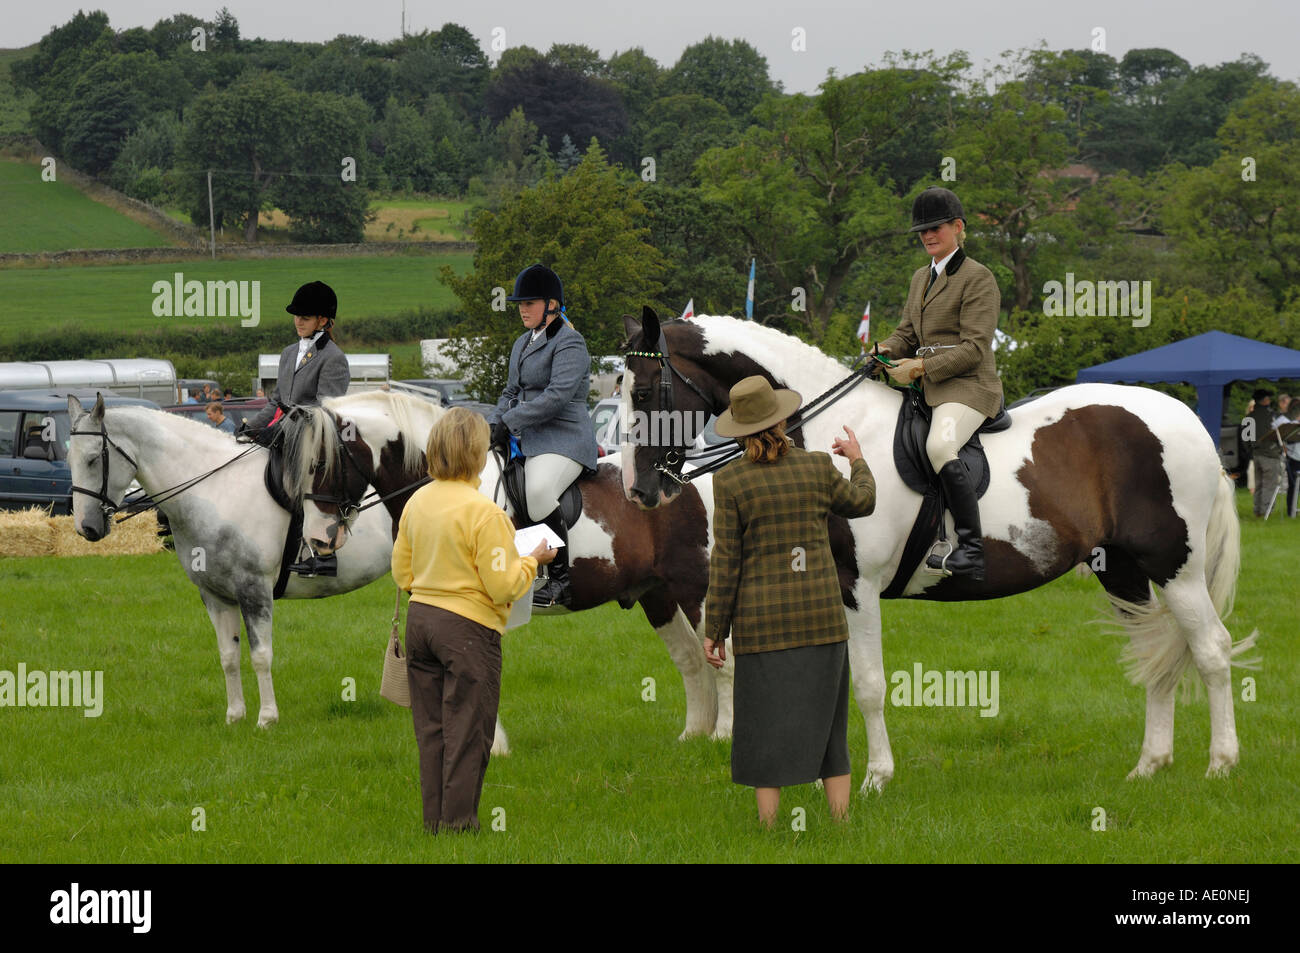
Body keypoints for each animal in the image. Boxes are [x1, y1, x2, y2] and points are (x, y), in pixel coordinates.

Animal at [66, 394, 396, 729]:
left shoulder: (254, 589)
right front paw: (235, 715)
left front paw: (267, 718)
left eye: (93, 459)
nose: (86, 528)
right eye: (69, 460)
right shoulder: (214, 594)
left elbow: (261, 655)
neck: (215, 492)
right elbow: (228, 655)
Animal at [275, 390, 727, 741]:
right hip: (658, 594)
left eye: (319, 465)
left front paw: (489, 745)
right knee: (691, 660)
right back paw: (693, 735)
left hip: (697, 589)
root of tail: (693, 477)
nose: (318, 539)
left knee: (721, 659)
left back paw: (721, 736)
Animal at [619, 311, 1255, 789]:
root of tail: (1189, 422)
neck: (829, 434)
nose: (639, 491)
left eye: (645, 392)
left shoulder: (857, 588)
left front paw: (875, 778)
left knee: (1212, 650)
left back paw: (1221, 764)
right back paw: (1149, 766)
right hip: (1122, 570)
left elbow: (869, 685)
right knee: (1155, 656)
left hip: (1176, 569)